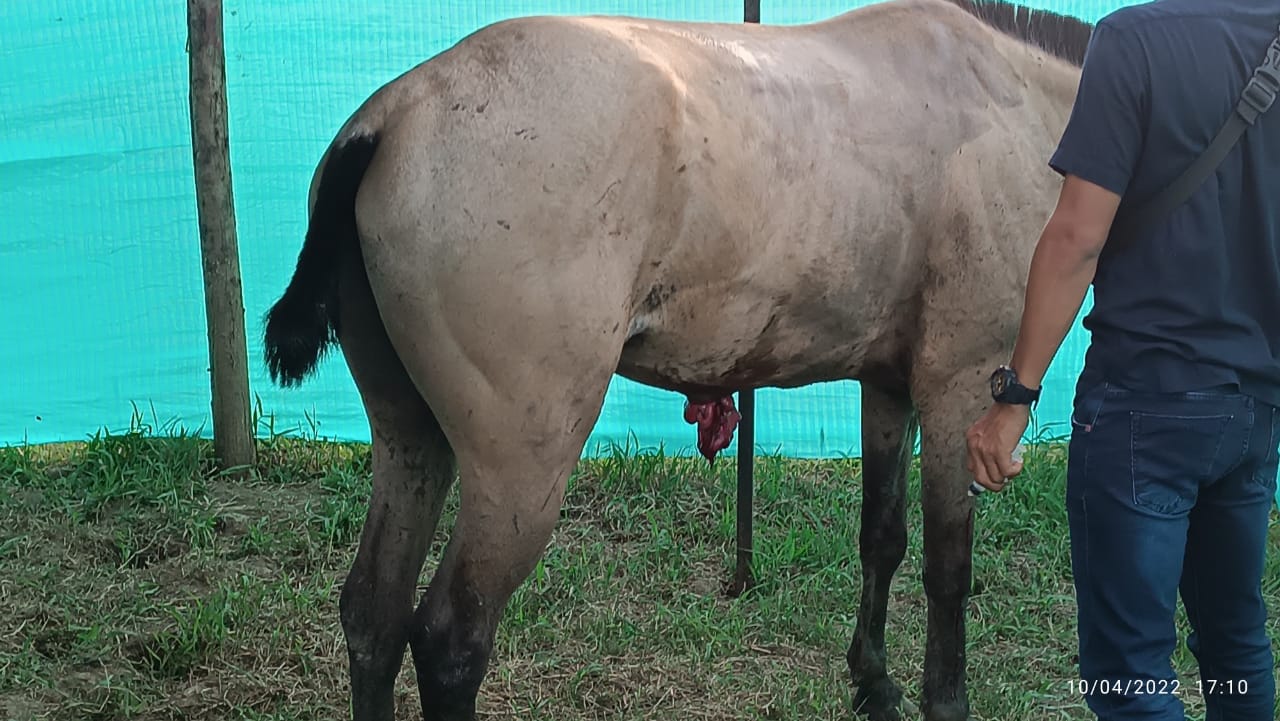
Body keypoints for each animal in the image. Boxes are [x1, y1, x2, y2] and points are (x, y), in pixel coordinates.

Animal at [262, 1, 1093, 718]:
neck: (1007, 97)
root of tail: (394, 114)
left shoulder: (889, 384)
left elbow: (881, 537)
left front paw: (874, 682)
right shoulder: (959, 384)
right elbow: (949, 567)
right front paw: (942, 700)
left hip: (410, 435)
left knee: (373, 611)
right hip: (520, 469)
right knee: (449, 640)